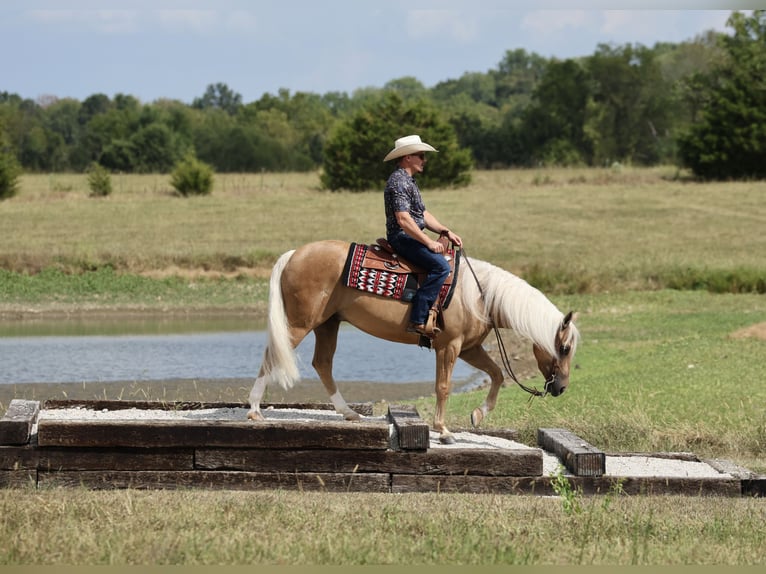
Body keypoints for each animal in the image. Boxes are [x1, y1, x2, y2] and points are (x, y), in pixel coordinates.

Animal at [247, 239, 580, 444]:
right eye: (564, 348)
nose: (562, 388)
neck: (478, 295)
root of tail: (294, 254)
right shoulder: (449, 346)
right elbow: (443, 387)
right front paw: (443, 431)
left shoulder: (469, 348)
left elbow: (497, 375)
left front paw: (477, 415)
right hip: (300, 324)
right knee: (272, 356)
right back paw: (253, 410)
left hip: (327, 324)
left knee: (323, 364)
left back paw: (349, 413)